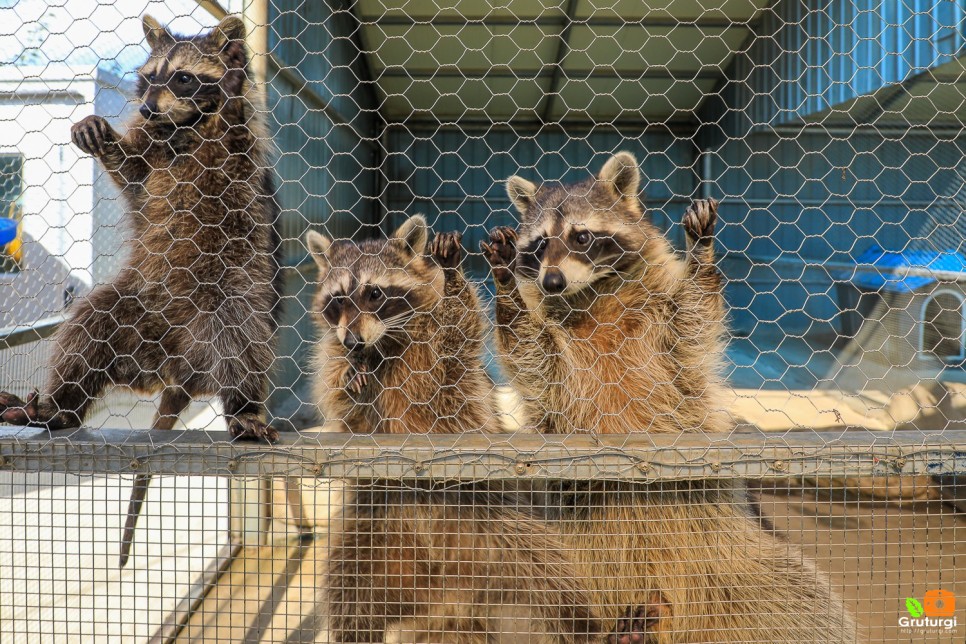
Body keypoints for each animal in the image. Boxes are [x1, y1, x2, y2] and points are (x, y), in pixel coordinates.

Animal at [0, 17, 286, 568]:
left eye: (183, 78)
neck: (185, 125)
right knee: (87, 328)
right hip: (134, 304)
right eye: (150, 77)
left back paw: (243, 408)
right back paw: (58, 406)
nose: (151, 107)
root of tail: (178, 367)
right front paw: (104, 139)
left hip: (232, 291)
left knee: (242, 338)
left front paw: (233, 93)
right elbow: (134, 174)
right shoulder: (149, 151)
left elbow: (238, 124)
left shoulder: (241, 151)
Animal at [308, 218, 604, 644]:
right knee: (348, 591)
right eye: (338, 300)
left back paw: (582, 627)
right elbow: (345, 409)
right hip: (372, 533)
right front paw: (351, 378)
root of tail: (449, 598)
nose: (351, 340)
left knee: (553, 581)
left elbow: (455, 341)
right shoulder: (338, 362)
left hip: (497, 527)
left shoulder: (445, 373)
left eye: (374, 293)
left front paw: (452, 279)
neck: (384, 345)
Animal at [480, 153, 860, 640]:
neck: (591, 295)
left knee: (806, 604)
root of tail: (669, 610)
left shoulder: (662, 322)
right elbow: (531, 354)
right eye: (540, 243)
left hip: (734, 563)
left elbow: (692, 318)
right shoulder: (553, 362)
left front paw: (701, 254)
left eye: (581, 236)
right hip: (551, 560)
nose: (552, 281)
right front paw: (507, 288)